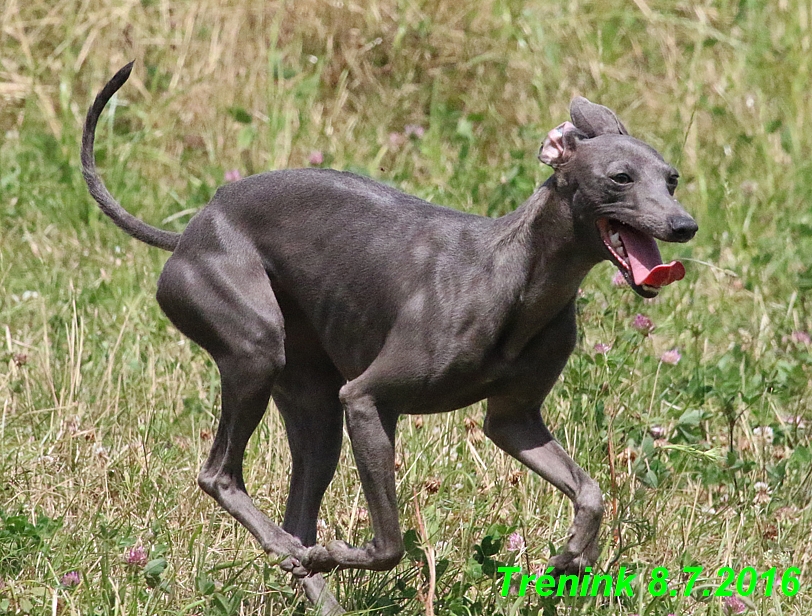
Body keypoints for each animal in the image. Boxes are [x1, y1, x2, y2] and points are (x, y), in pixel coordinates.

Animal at [82, 62, 696, 612]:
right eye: (620, 177)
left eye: (671, 178)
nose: (685, 225)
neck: (519, 276)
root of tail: (190, 229)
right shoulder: (366, 399)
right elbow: (390, 544)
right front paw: (335, 555)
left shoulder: (512, 421)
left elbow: (590, 492)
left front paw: (572, 557)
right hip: (257, 350)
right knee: (221, 475)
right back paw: (291, 549)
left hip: (316, 406)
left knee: (297, 511)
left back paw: (310, 575)